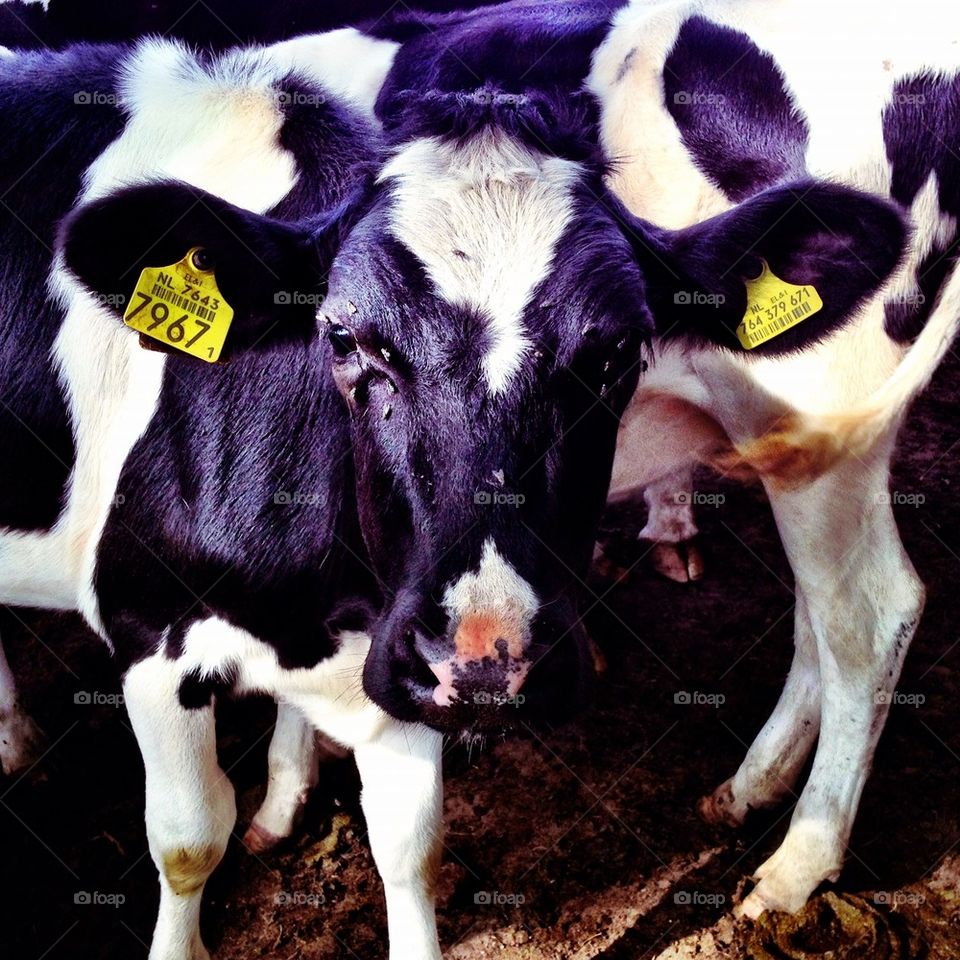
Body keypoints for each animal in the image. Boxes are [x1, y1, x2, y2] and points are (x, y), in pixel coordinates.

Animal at [2, 8, 907, 960]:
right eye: (346, 337)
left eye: (618, 350)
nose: (486, 662)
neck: (322, 605)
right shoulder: (152, 626)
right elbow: (189, 840)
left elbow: (405, 844)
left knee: (860, 615)